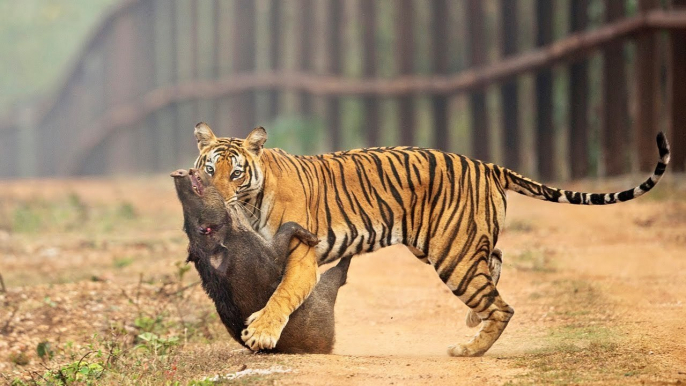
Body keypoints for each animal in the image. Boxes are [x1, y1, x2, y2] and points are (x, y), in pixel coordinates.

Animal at [192, 122, 672, 358]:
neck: (249, 200)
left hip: (451, 254)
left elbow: (282, 296)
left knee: (502, 304)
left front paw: (261, 334)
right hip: (448, 245)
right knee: (496, 265)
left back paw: (469, 348)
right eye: (208, 168)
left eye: (235, 172)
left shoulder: (302, 255)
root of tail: (486, 165)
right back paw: (473, 322)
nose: (211, 193)